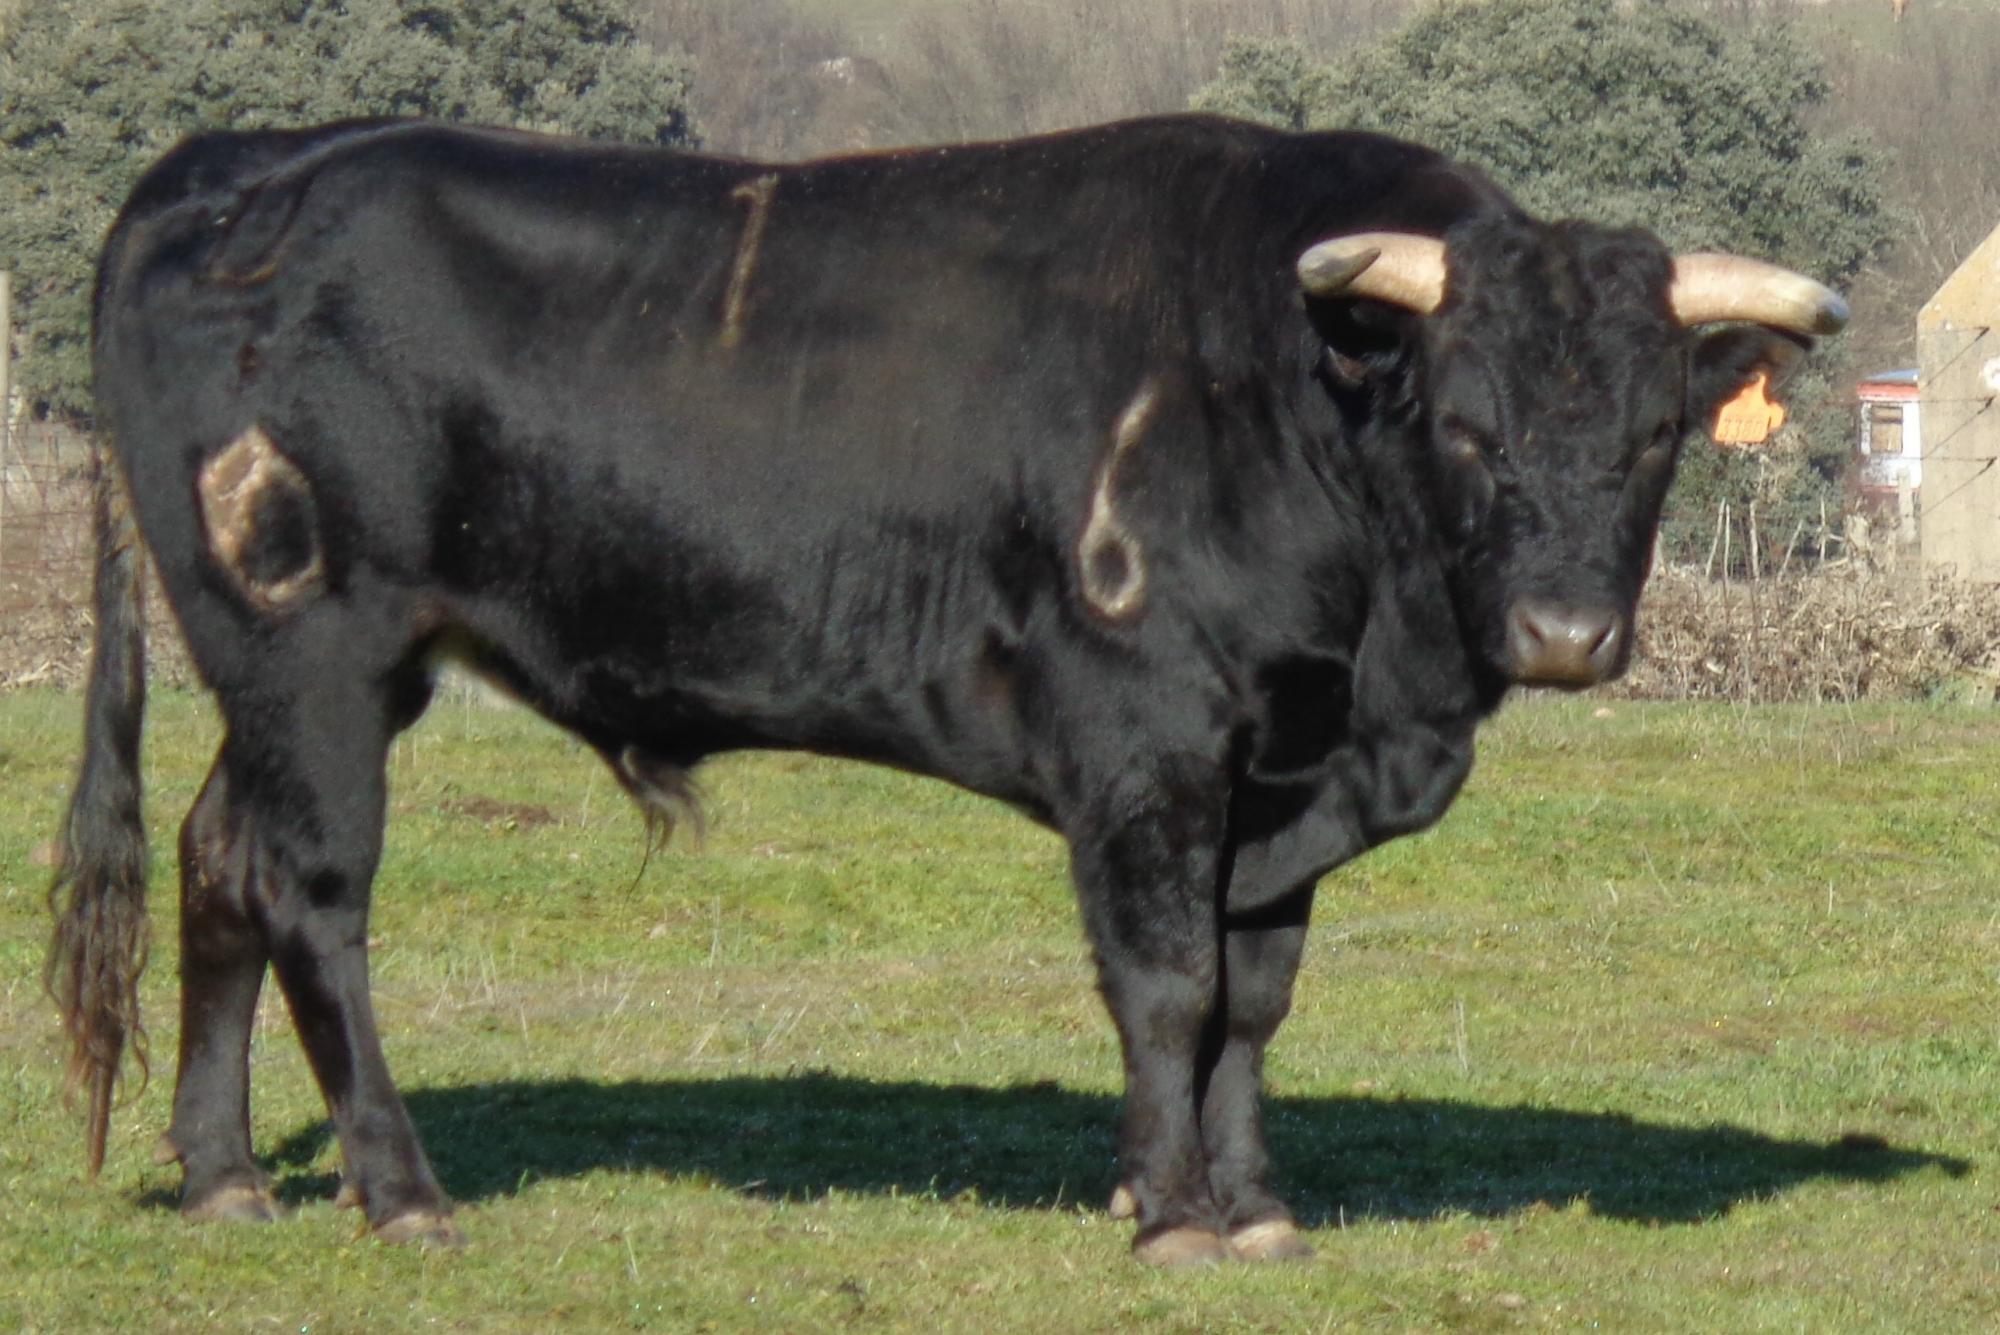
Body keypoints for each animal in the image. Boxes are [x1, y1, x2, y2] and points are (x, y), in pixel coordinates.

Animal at [50, 114, 1840, 1263]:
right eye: (1467, 425)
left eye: (1656, 436)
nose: (1562, 630)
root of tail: (243, 167)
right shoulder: (1145, 739)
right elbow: (1169, 981)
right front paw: (1174, 1216)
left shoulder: (1282, 769)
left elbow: (1255, 995)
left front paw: (1250, 1201)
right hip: (314, 643)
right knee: (314, 892)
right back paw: (401, 1188)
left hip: (283, 675)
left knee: (218, 860)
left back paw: (222, 1175)